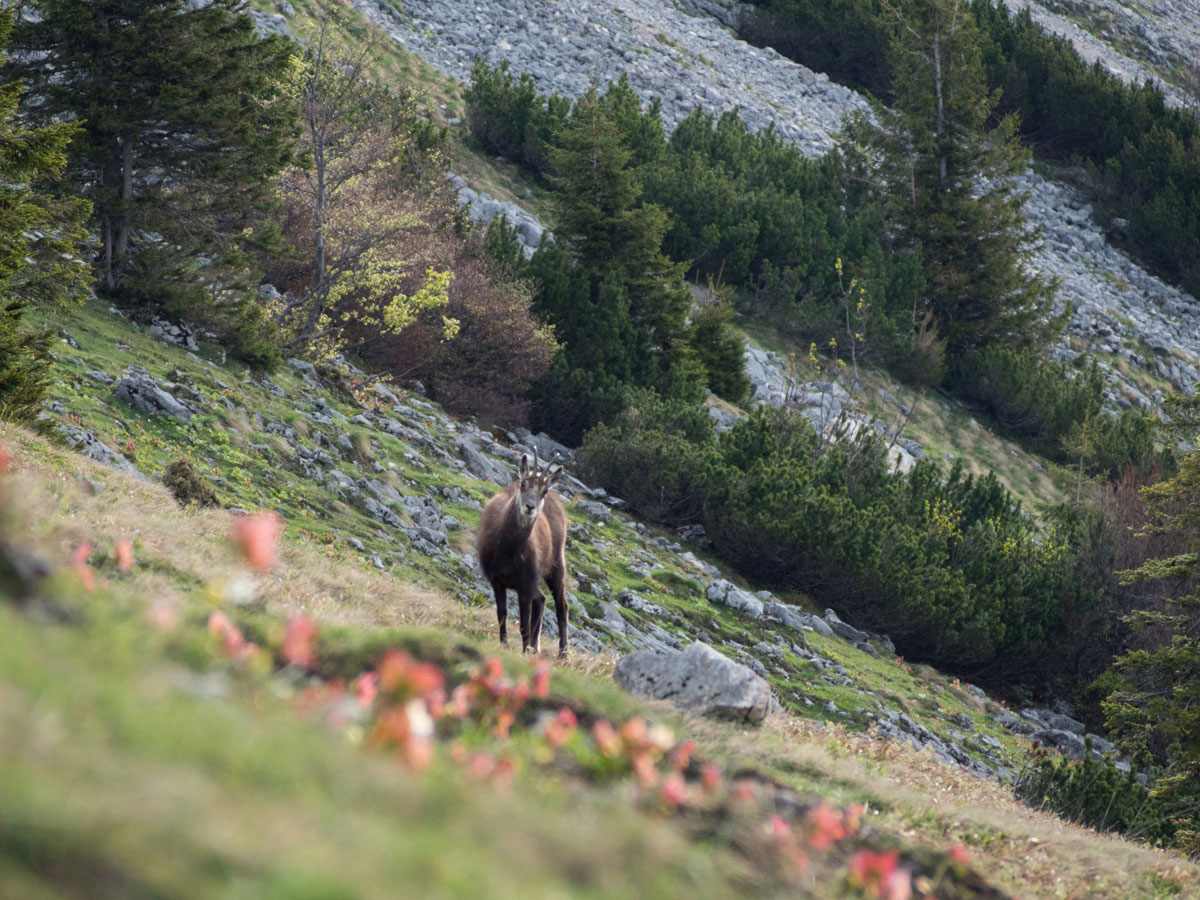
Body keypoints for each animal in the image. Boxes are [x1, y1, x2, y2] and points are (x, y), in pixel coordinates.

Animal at [475, 453, 568, 657]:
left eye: (543, 491)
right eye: (523, 484)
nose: (530, 507)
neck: (509, 551)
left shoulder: (524, 584)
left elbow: (524, 624)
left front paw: (523, 652)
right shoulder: (497, 580)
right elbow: (502, 613)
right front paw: (504, 644)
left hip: (556, 564)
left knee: (561, 606)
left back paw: (563, 655)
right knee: (541, 599)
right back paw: (535, 647)